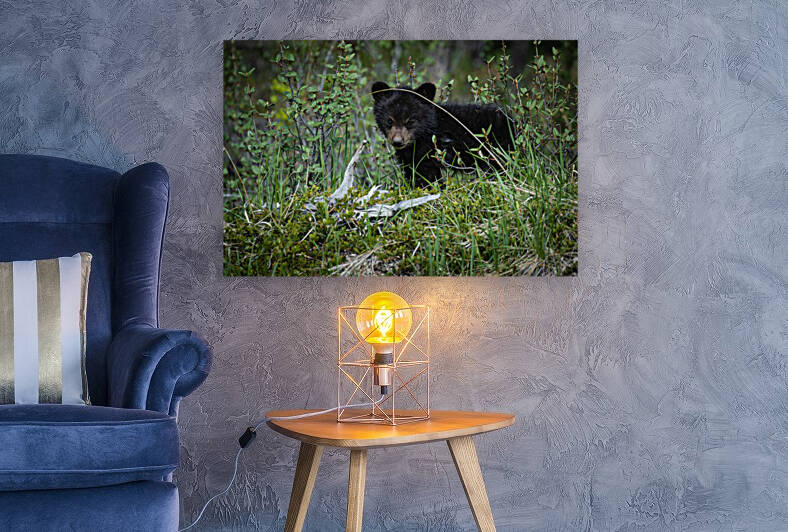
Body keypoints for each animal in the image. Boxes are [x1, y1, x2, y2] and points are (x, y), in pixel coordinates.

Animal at [371, 81, 514, 187]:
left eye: (410, 121)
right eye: (389, 120)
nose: (397, 141)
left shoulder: (429, 153)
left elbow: (427, 176)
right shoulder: (410, 157)